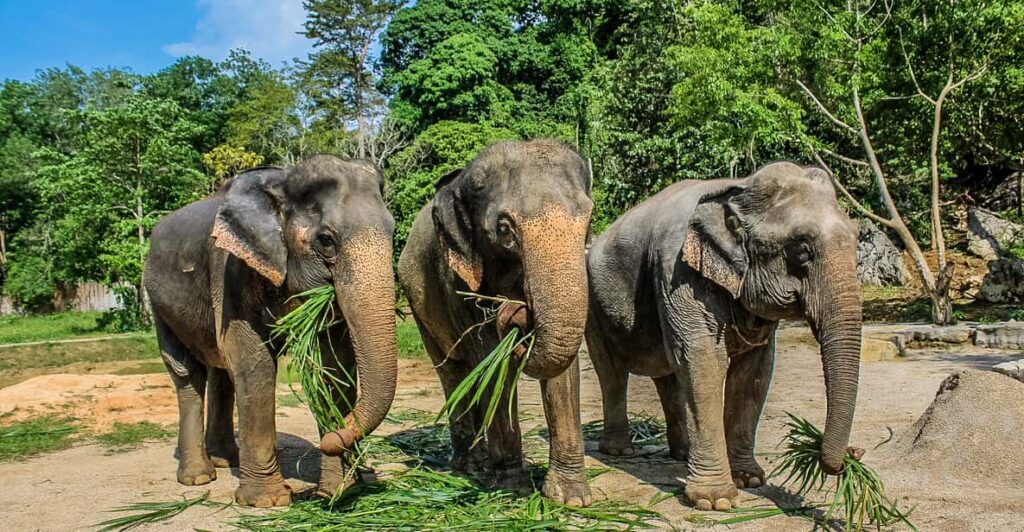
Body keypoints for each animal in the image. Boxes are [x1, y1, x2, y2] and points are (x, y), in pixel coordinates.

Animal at [142, 153, 397, 507]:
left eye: (393, 232)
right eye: (326, 240)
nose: (333, 438)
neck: (281, 181)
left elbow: (332, 366)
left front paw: (338, 491)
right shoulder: (230, 268)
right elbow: (254, 360)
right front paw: (268, 502)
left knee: (221, 372)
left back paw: (227, 460)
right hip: (158, 302)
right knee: (186, 372)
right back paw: (199, 477)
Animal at [397, 139, 598, 505]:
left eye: (589, 222)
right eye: (505, 230)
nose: (516, 310)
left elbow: (563, 373)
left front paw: (570, 498)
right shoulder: (459, 281)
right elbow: (493, 363)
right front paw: (510, 489)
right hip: (418, 305)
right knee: (454, 372)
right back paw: (470, 466)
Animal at [581, 161, 860, 511]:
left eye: (858, 240)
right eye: (802, 251)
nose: (853, 455)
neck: (738, 188)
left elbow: (753, 373)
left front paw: (749, 480)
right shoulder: (678, 270)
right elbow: (703, 360)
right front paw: (715, 501)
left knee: (669, 375)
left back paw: (683, 453)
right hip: (592, 305)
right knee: (612, 372)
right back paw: (621, 450)